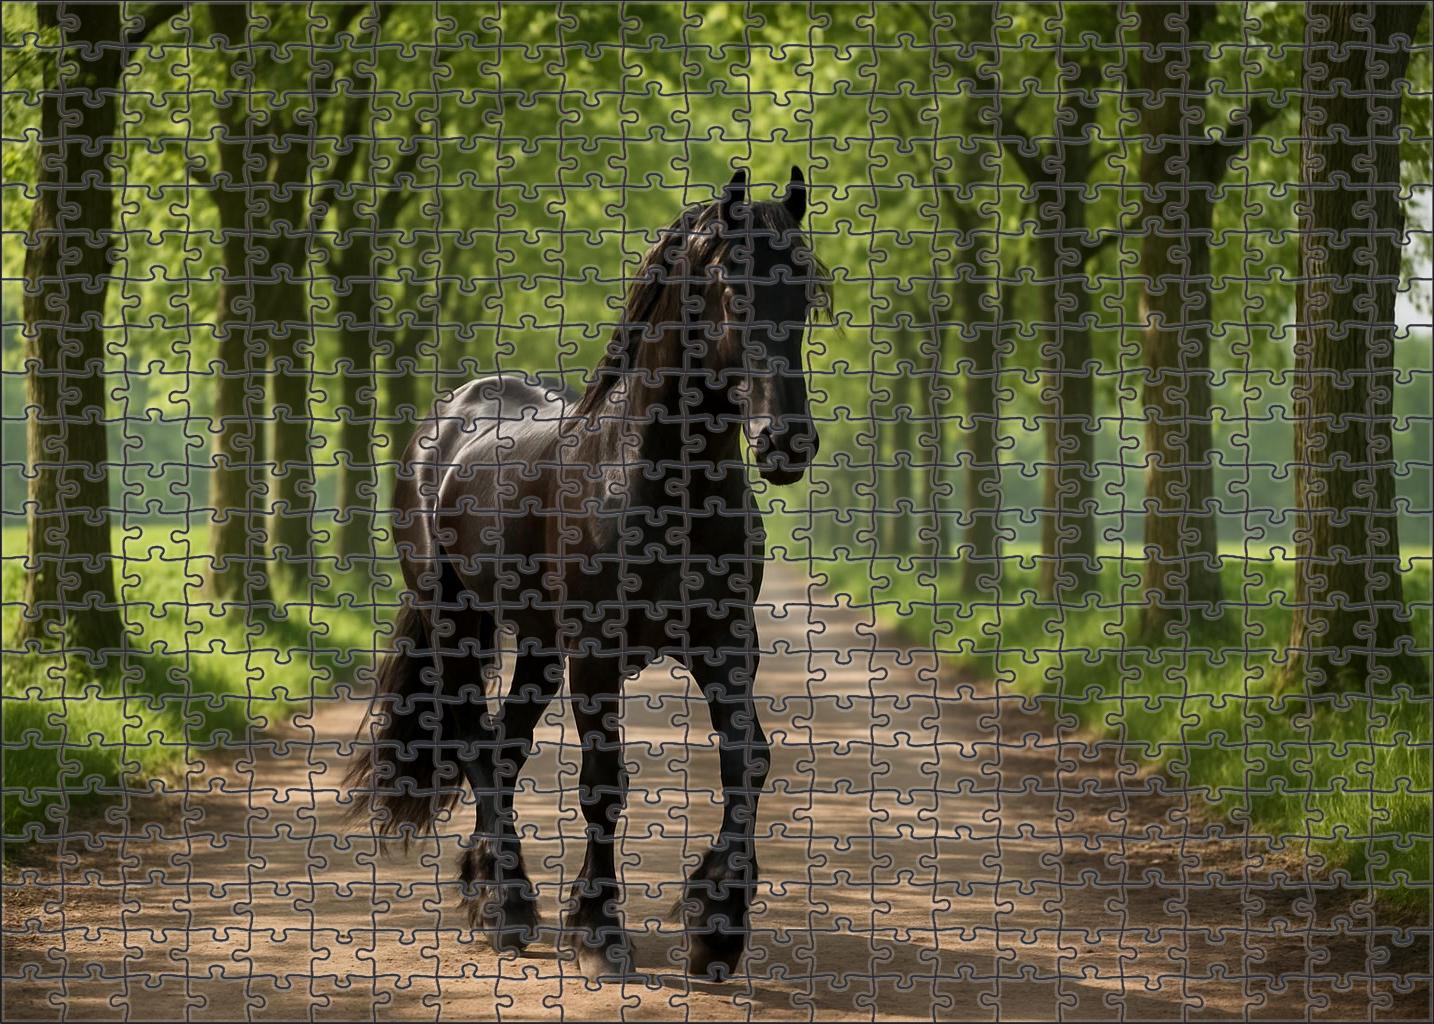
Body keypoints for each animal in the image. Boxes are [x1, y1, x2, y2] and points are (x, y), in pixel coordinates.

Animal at [347, 167, 826, 981]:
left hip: (539, 647)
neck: (660, 480)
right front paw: (600, 929)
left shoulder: (728, 646)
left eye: (808, 292)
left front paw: (717, 926)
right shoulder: (598, 656)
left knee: (502, 748)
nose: (785, 444)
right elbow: (603, 783)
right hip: (458, 622)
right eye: (735, 290)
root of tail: (450, 418)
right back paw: (506, 909)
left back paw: (488, 887)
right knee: (475, 743)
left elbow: (747, 764)